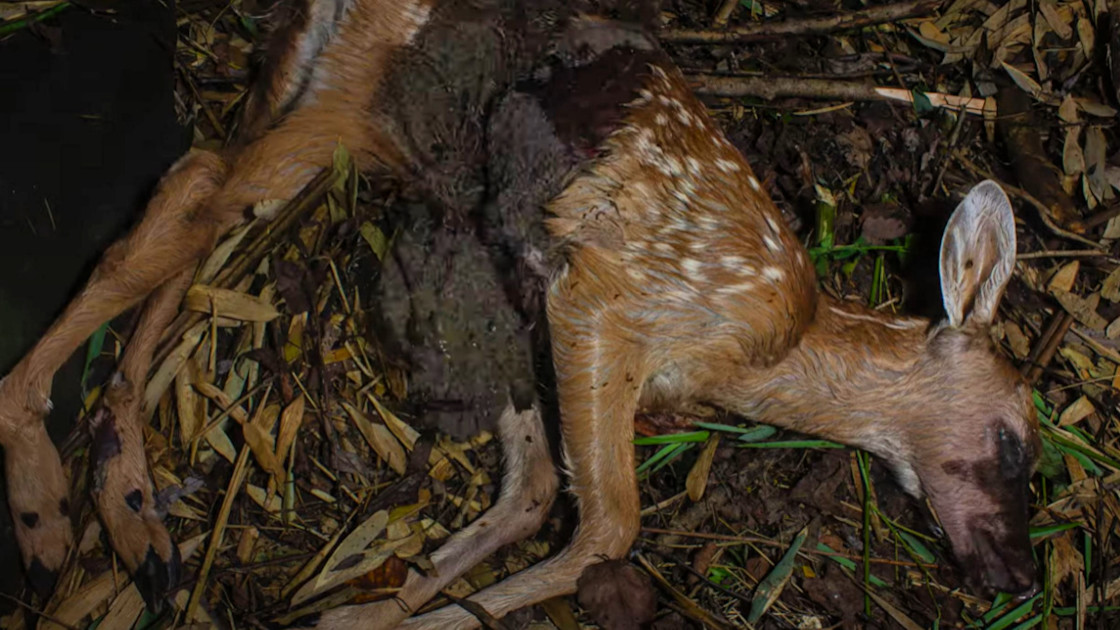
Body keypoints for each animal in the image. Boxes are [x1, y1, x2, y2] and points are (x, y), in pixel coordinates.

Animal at [0, 0, 1040, 624]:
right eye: (1018, 439)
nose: (1020, 576)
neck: (759, 357)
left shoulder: (523, 288)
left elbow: (534, 488)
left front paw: (367, 607)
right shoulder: (609, 294)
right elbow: (609, 524)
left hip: (337, 98)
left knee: (198, 205)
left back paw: (130, 516)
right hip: (362, 101)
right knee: (190, 186)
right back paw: (41, 503)